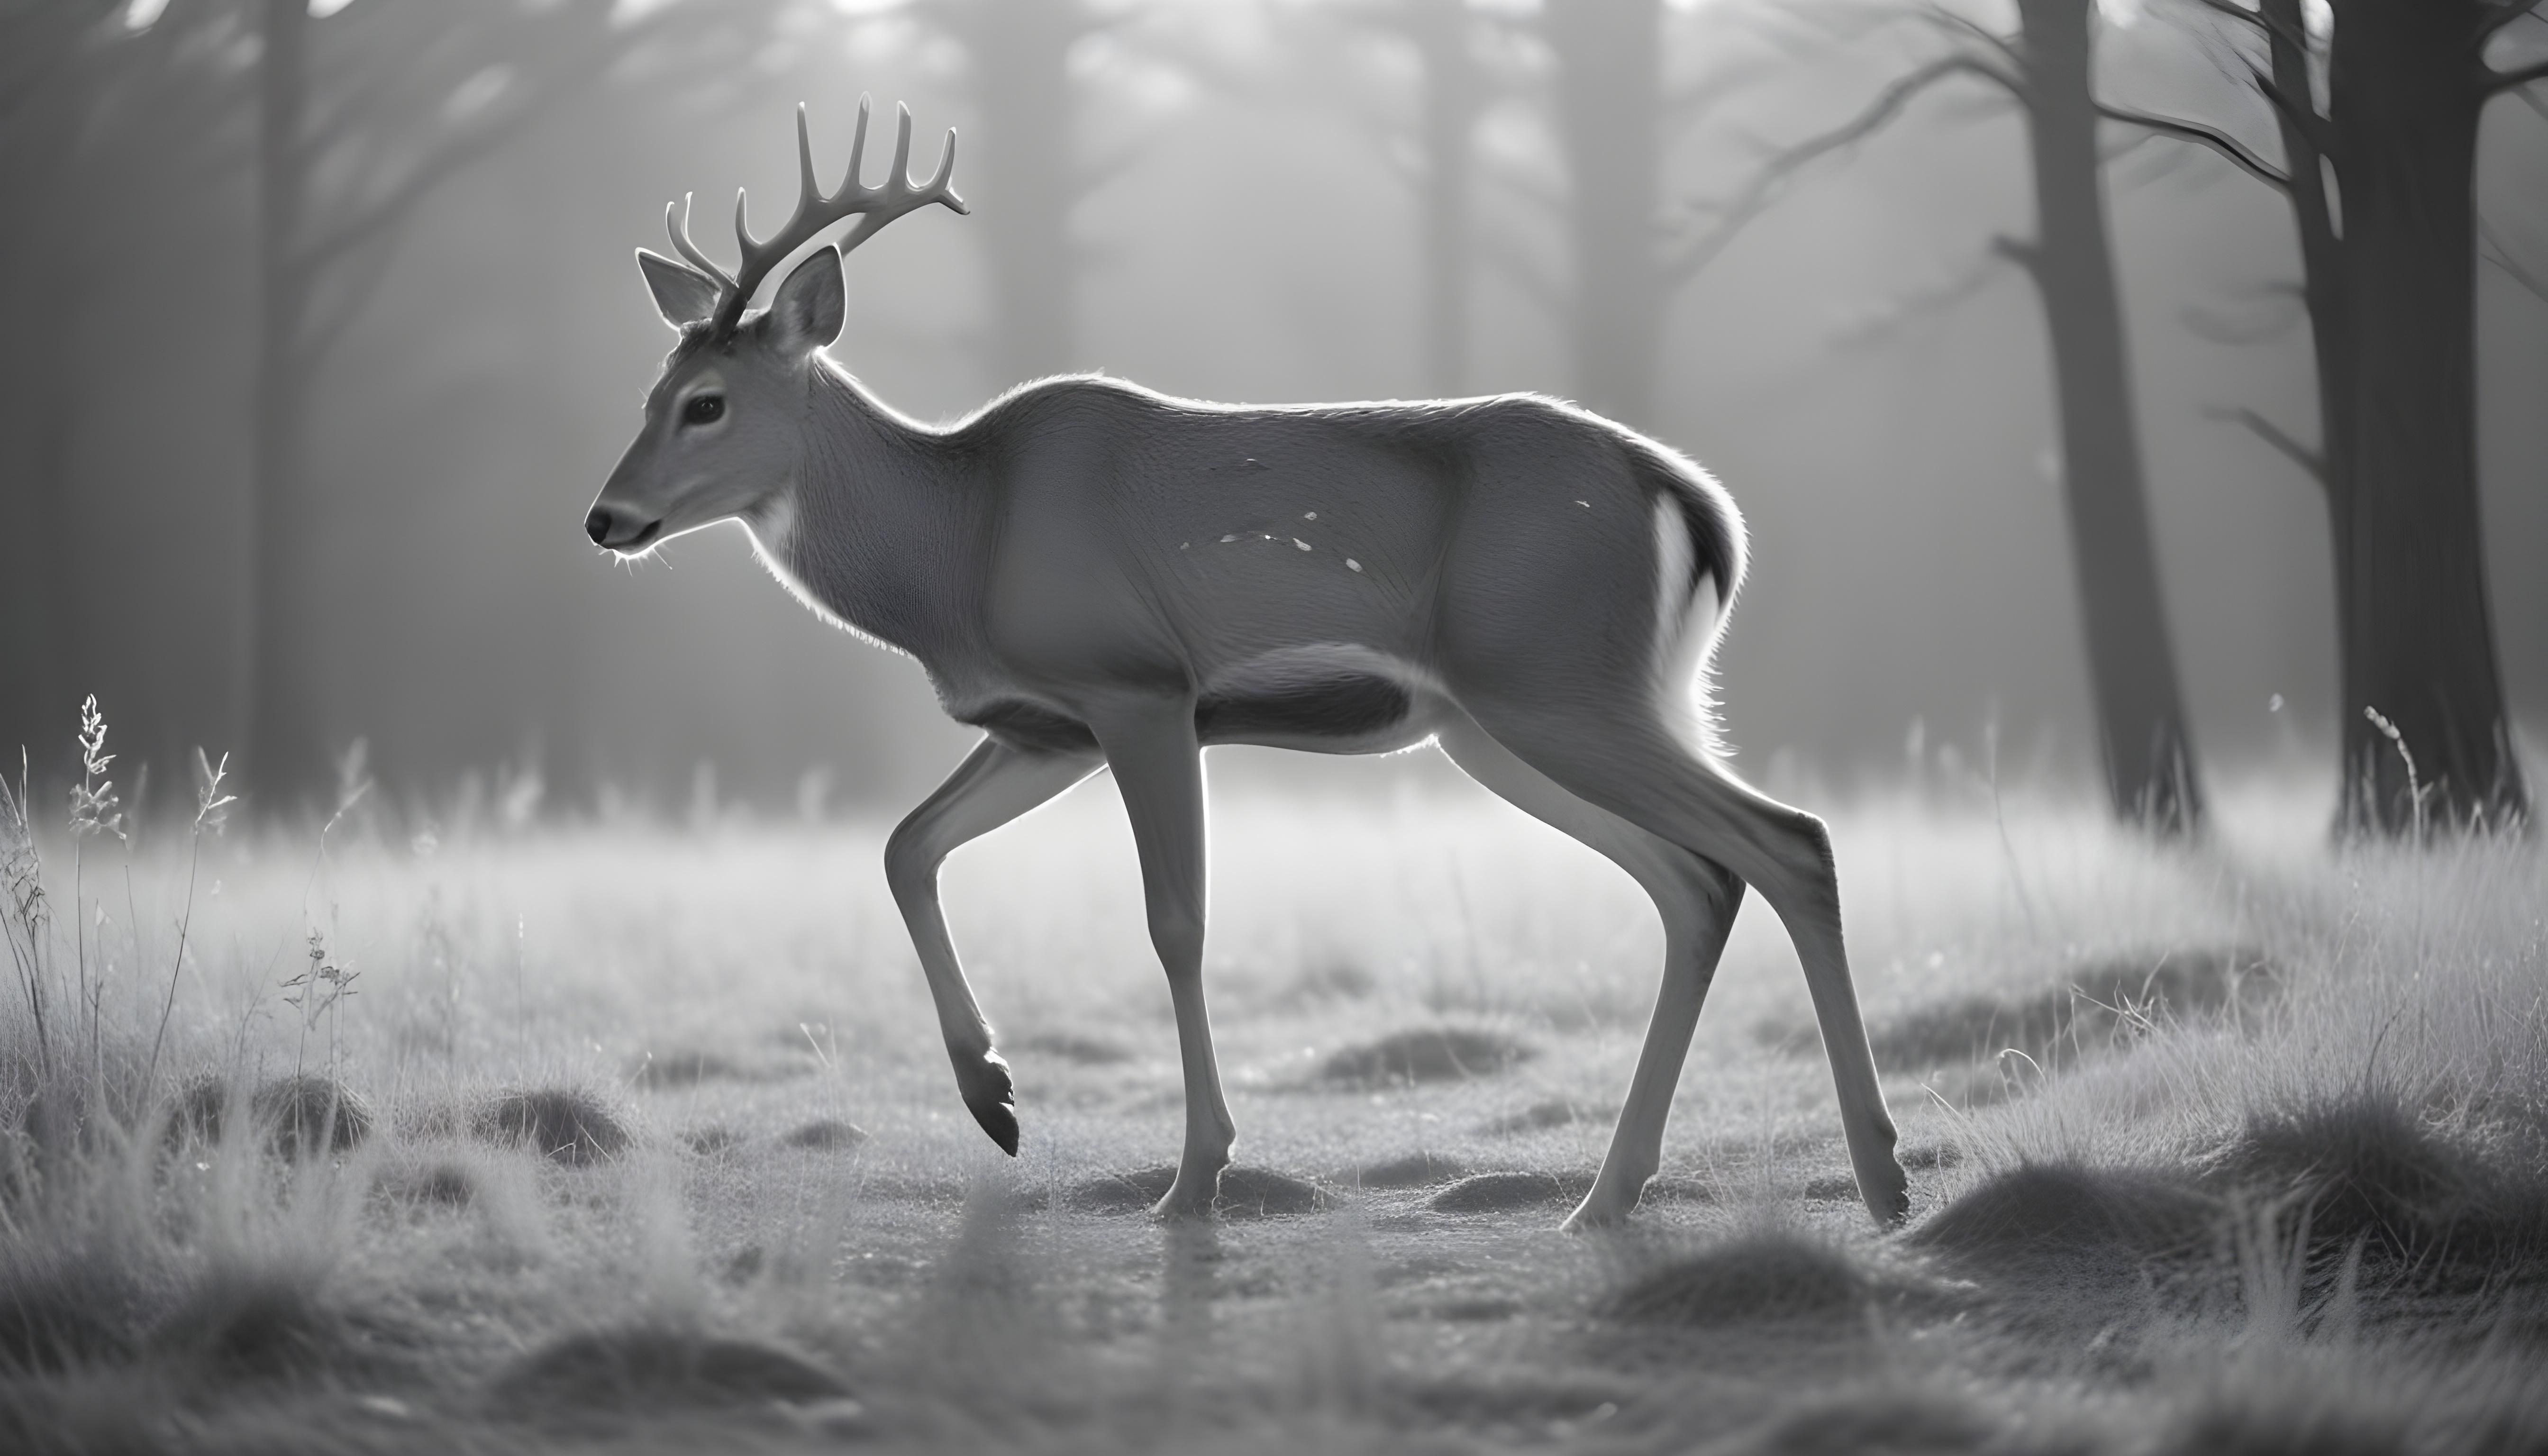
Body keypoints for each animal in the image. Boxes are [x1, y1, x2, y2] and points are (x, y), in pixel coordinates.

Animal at [584, 98, 1908, 1231]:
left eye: (707, 401)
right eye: (650, 389)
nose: (605, 517)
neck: (956, 548)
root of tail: (1692, 502)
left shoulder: (1140, 685)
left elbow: (1177, 919)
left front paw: (1195, 1175)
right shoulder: (1041, 725)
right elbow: (906, 846)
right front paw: (995, 1098)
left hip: (1557, 681)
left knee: (1789, 840)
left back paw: (1882, 1177)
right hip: (1514, 720)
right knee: (1698, 882)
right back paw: (1611, 1195)